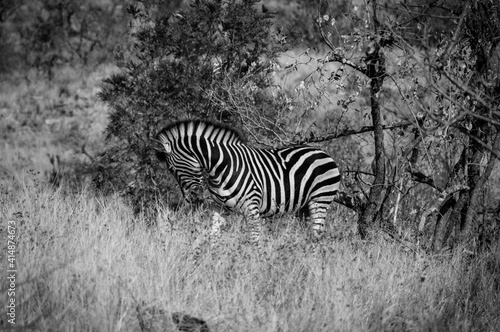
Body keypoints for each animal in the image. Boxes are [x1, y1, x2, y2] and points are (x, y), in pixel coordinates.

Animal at [157, 120, 340, 245]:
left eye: (171, 169)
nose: (190, 199)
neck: (220, 167)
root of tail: (323, 152)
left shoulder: (251, 207)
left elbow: (254, 240)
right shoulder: (219, 208)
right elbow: (213, 236)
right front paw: (210, 262)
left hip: (320, 200)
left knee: (316, 235)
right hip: (303, 208)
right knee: (309, 235)